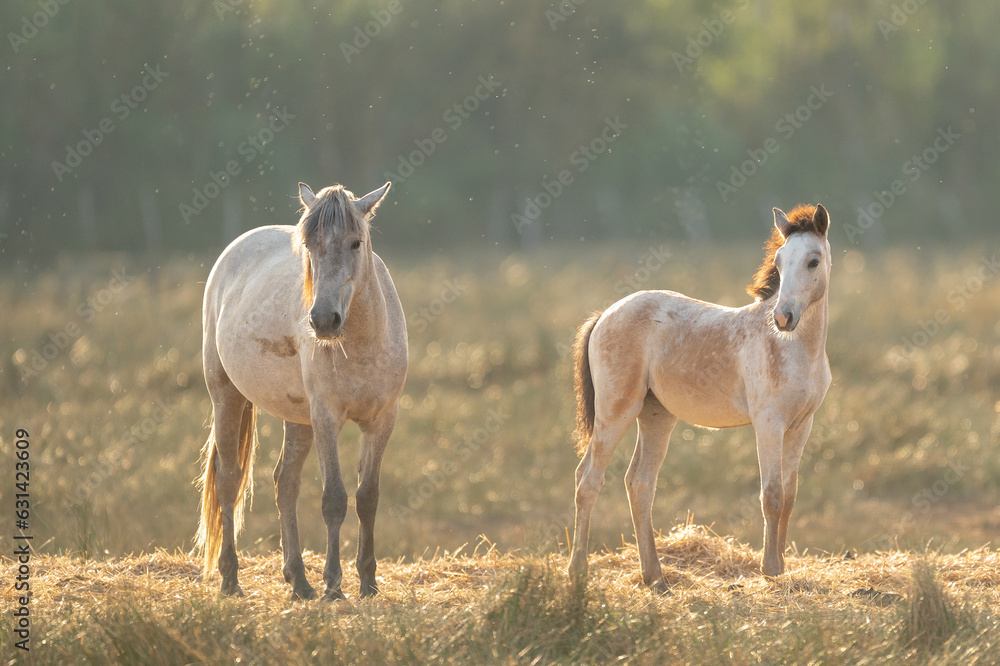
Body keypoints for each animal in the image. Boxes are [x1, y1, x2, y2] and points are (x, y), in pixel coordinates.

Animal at [195, 181, 407, 601]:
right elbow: (334, 499)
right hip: (227, 396)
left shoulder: (381, 420)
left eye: (356, 242)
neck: (361, 344)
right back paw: (230, 578)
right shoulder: (326, 417)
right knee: (229, 479)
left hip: (298, 419)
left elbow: (367, 497)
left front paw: (368, 582)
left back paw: (298, 580)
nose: (323, 320)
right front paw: (334, 585)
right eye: (309, 245)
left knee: (285, 483)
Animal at [567, 204, 832, 592]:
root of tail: (605, 314)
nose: (783, 317)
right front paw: (769, 568)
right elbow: (771, 494)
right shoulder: (769, 424)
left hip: (656, 417)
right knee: (587, 479)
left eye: (813, 261)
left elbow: (789, 494)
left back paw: (655, 577)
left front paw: (782, 566)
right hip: (616, 412)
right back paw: (577, 572)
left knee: (639, 483)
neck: (796, 348)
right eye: (780, 261)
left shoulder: (801, 426)